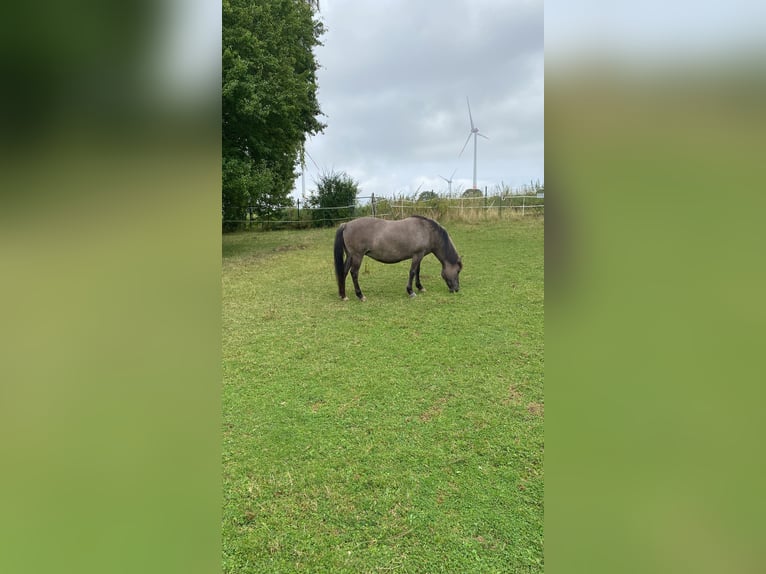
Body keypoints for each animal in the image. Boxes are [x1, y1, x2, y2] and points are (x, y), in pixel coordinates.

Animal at [334, 217, 464, 304]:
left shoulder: (419, 255)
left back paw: (343, 295)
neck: (427, 231)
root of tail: (346, 224)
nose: (456, 289)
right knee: (354, 273)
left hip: (350, 256)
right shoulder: (417, 255)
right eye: (458, 271)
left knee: (343, 272)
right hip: (357, 256)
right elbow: (412, 272)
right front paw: (411, 291)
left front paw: (420, 287)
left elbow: (417, 271)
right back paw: (360, 295)